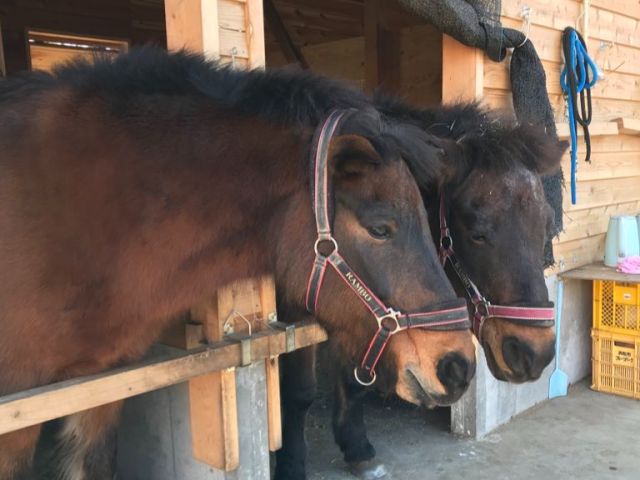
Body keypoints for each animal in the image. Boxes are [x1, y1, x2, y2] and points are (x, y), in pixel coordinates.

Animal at [273, 101, 567, 478]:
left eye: (547, 224)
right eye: (477, 233)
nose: (536, 352)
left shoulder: (359, 312)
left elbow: (353, 379)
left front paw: (356, 445)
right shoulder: (298, 305)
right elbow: (299, 392)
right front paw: (292, 463)